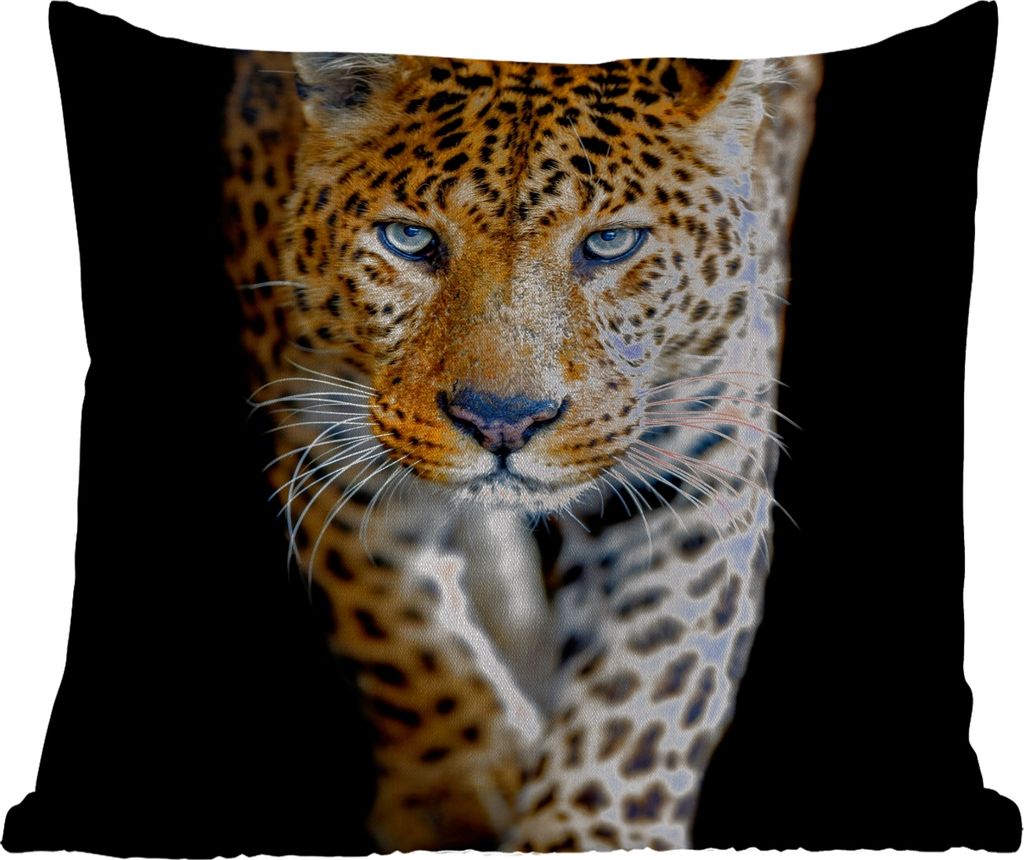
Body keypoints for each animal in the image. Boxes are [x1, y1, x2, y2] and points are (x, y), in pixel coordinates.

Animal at [222, 48, 821, 851]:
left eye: (610, 244)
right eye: (409, 240)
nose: (502, 421)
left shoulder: (701, 460)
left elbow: (645, 692)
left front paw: (587, 833)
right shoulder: (315, 417)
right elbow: (389, 615)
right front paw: (453, 790)